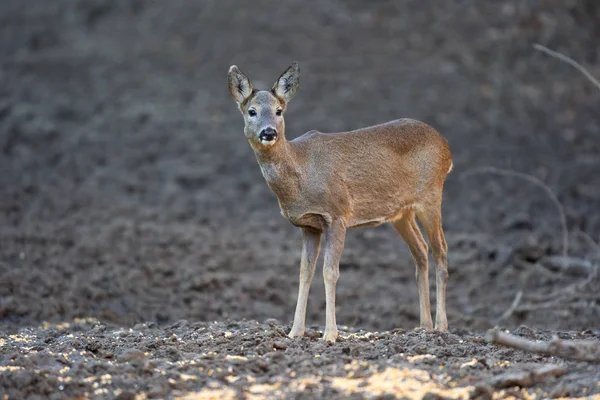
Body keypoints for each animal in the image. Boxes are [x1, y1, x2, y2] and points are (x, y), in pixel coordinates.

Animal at [227, 62, 452, 344]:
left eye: (279, 110)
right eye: (252, 111)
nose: (269, 132)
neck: (302, 172)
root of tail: (446, 147)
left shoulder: (337, 214)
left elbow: (330, 272)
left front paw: (330, 334)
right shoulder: (309, 225)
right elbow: (304, 273)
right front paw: (294, 332)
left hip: (431, 196)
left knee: (440, 250)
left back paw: (441, 326)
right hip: (401, 212)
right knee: (420, 250)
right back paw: (423, 326)